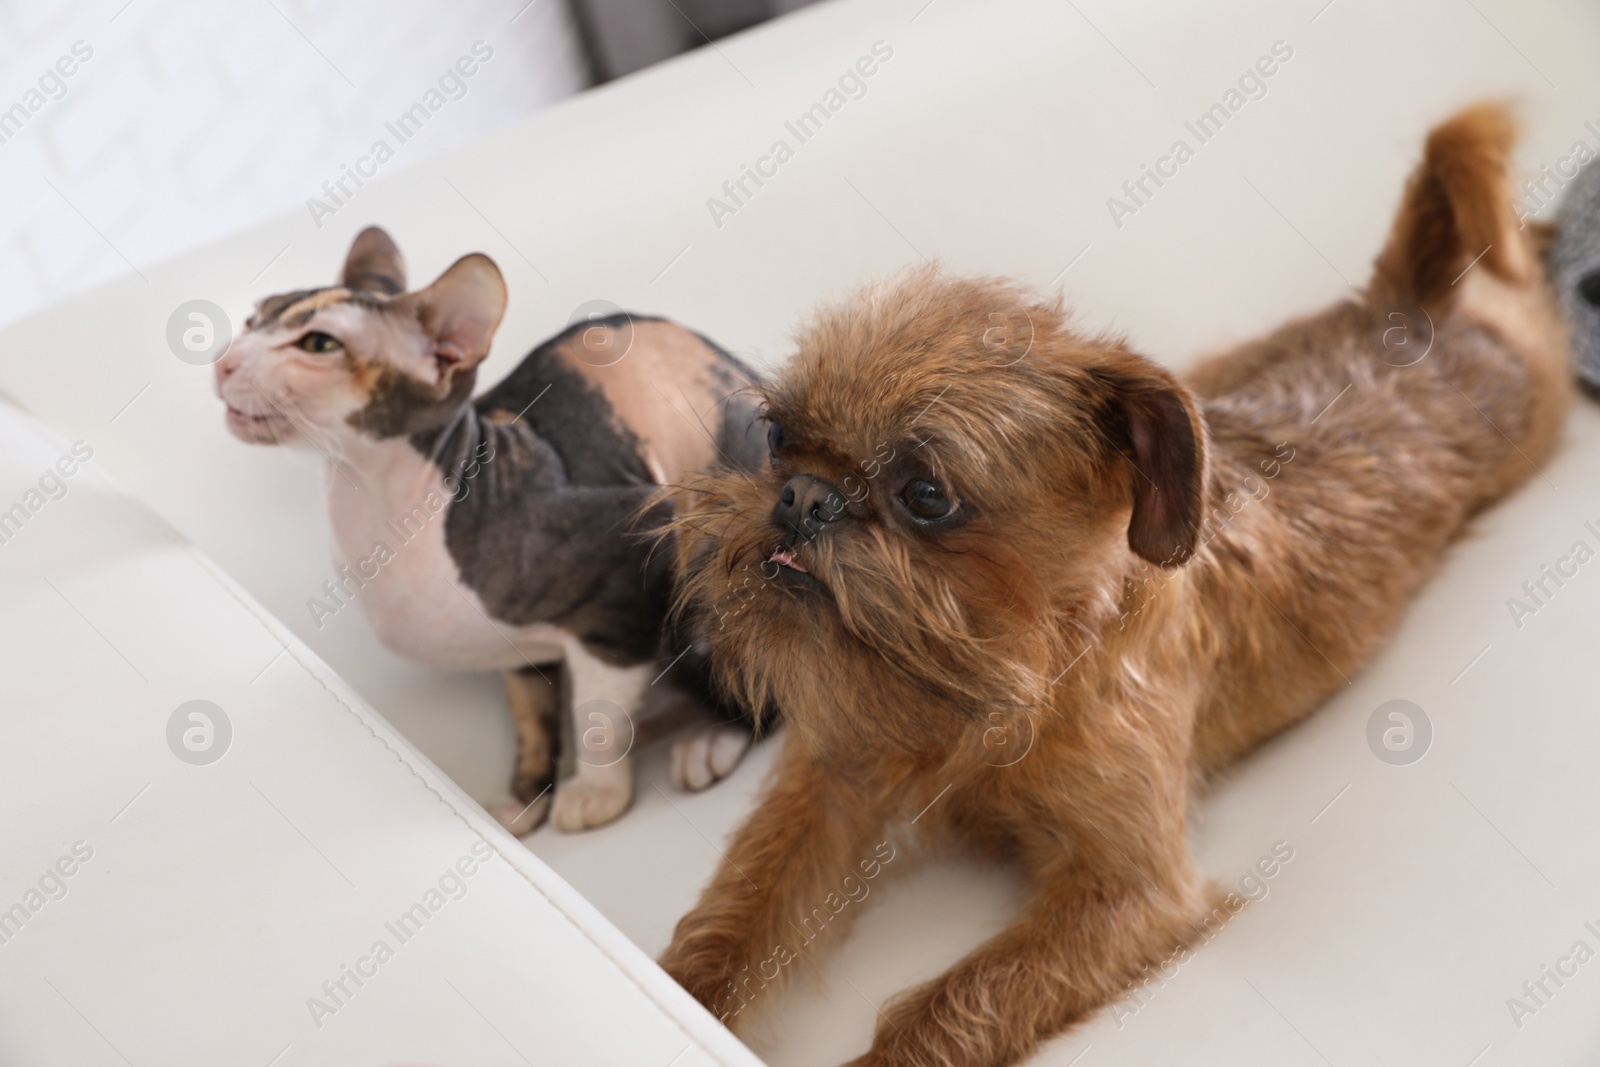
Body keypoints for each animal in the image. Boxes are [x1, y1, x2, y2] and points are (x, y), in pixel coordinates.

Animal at [656, 102, 1568, 1067]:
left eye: (925, 495)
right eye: (775, 436)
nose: (802, 497)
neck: (1015, 665)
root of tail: (1418, 306)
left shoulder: (1126, 892)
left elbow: (946, 1007)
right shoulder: (830, 778)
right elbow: (737, 911)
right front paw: (675, 996)